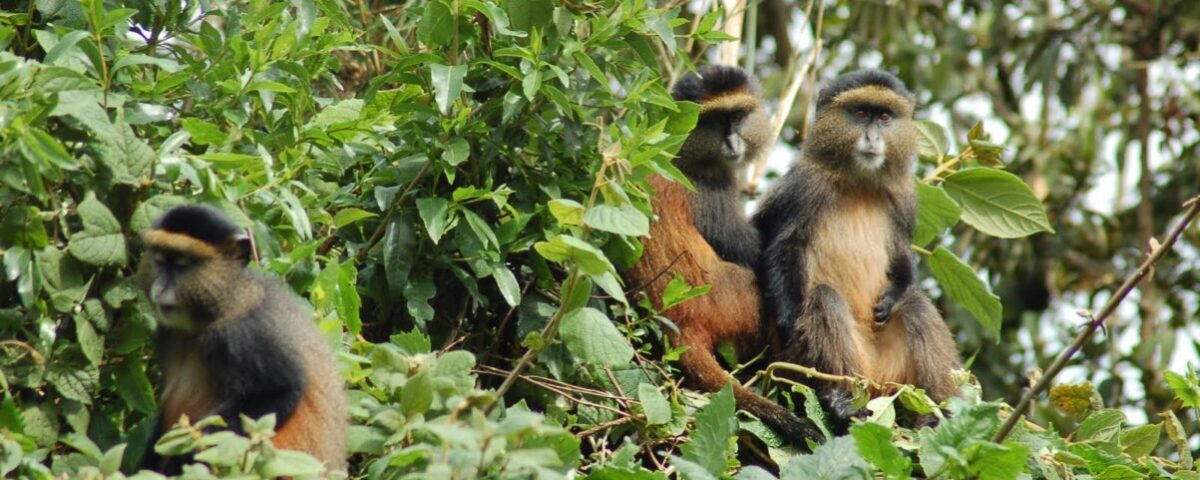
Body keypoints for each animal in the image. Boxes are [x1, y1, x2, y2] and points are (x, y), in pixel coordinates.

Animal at [136, 205, 346, 474]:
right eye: (160, 260)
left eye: (182, 264)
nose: (160, 288)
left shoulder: (244, 333)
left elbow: (281, 391)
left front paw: (183, 459)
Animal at [624, 65, 824, 445]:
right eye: (717, 119)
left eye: (739, 116)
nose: (732, 143)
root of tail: (681, 322)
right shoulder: (711, 189)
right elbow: (754, 251)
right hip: (735, 303)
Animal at [753, 69, 961, 429]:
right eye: (861, 113)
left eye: (885, 116)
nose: (872, 138)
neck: (858, 183)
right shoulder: (803, 187)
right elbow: (784, 248)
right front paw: (789, 322)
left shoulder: (904, 200)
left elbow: (901, 258)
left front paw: (892, 296)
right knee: (824, 298)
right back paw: (841, 402)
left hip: (893, 376)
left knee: (916, 305)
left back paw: (937, 413)